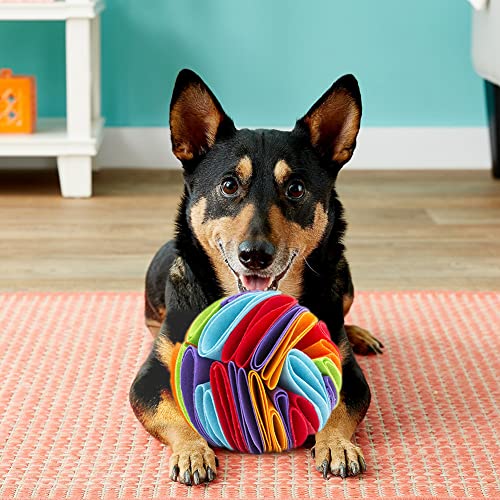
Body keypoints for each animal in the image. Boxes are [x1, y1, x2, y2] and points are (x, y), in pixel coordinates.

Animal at [129, 69, 382, 484]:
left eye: (295, 189)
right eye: (230, 185)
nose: (255, 255)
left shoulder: (349, 373)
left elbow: (338, 405)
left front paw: (336, 444)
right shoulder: (147, 380)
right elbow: (175, 413)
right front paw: (193, 451)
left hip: (341, 276)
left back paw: (360, 335)